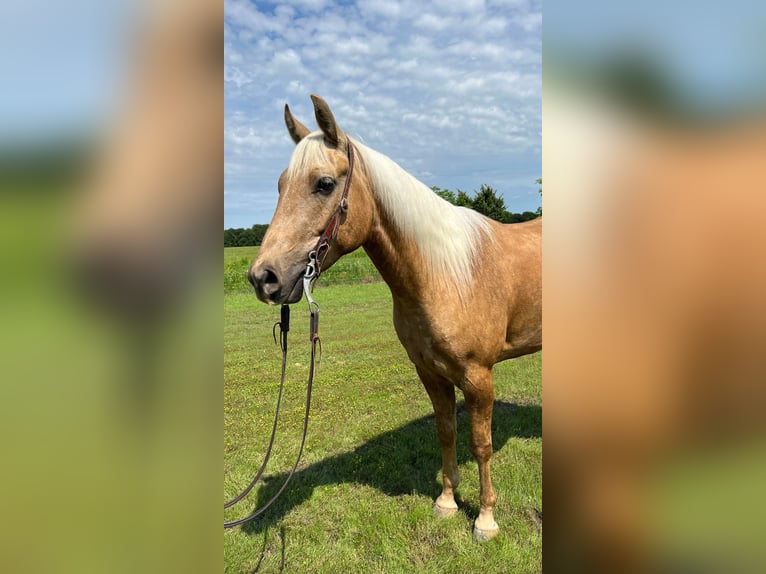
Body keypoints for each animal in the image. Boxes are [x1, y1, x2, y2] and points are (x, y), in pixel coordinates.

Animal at [249, 95, 544, 544]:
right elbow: (445, 431)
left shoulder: (479, 377)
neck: (443, 274)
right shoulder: (430, 372)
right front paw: (447, 502)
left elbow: (481, 444)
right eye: (281, 184)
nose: (263, 278)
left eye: (324, 184)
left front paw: (486, 519)